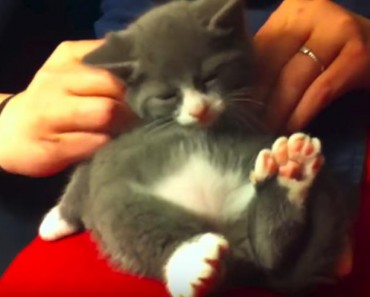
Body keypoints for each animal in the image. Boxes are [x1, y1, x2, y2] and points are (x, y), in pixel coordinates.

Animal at [37, 0, 356, 294]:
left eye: (210, 78)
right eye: (167, 95)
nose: (199, 109)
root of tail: (218, 225)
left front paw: (54, 220)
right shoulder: (109, 141)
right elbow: (81, 175)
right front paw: (56, 221)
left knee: (267, 252)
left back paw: (290, 173)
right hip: (118, 199)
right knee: (138, 226)